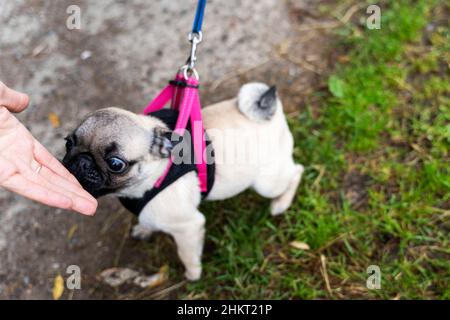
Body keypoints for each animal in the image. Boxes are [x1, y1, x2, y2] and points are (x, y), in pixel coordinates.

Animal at [63, 82, 302, 280]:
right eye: (68, 143)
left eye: (115, 164)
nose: (82, 161)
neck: (152, 179)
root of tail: (272, 114)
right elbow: (146, 221)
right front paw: (144, 229)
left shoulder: (188, 227)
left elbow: (187, 254)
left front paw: (193, 274)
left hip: (267, 183)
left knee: (297, 171)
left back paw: (281, 203)